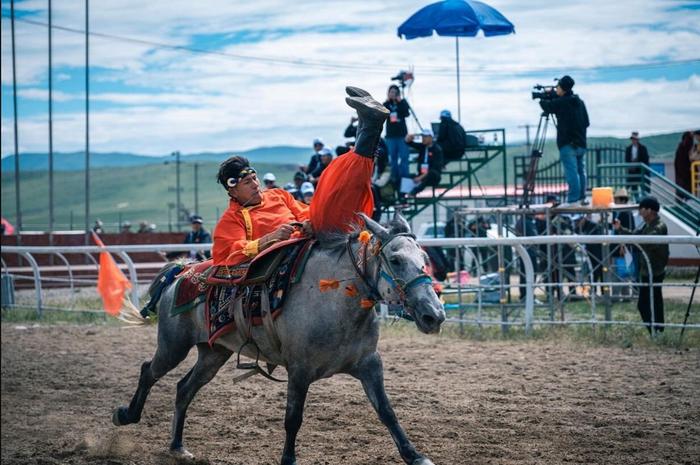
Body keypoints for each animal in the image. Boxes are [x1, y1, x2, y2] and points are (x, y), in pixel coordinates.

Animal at [112, 212, 446, 462]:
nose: (434, 314)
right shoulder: (299, 370)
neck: (334, 299)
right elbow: (293, 418)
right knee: (149, 371)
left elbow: (387, 411)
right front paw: (288, 459)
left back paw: (178, 446)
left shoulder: (369, 364)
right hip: (173, 346)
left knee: (184, 389)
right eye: (396, 259)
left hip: (213, 353)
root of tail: (181, 272)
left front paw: (415, 455)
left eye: (424, 257)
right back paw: (125, 415)